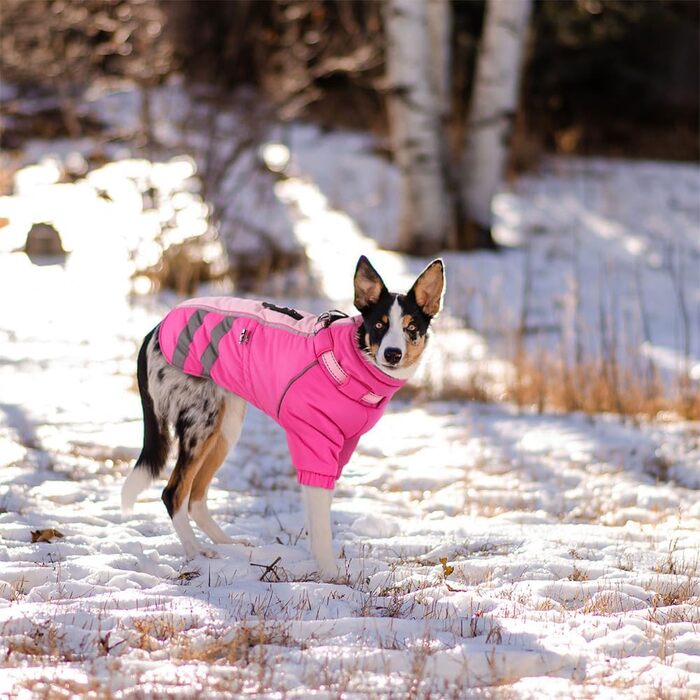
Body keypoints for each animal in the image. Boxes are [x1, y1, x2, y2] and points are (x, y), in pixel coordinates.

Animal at [156, 298, 402, 490]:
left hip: (227, 425)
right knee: (174, 493)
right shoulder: (314, 440)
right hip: (201, 426)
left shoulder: (345, 444)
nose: (393, 354)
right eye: (380, 324)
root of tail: (160, 325)